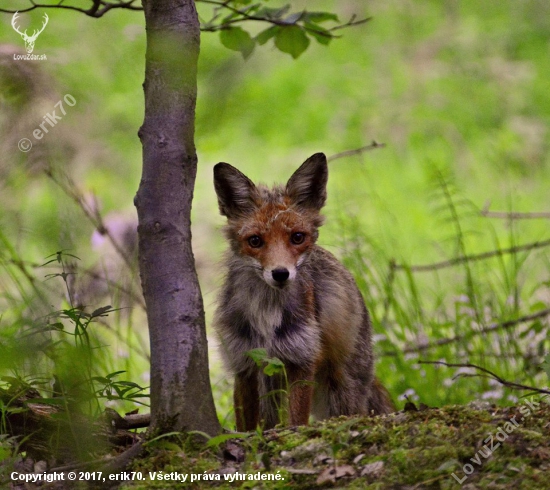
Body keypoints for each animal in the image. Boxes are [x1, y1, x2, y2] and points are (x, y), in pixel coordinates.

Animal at [213, 152, 394, 428]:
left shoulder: (302, 358)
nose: (280, 273)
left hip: (340, 391)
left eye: (297, 237)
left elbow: (297, 420)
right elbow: (246, 426)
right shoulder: (244, 362)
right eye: (255, 241)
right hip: (271, 381)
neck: (267, 312)